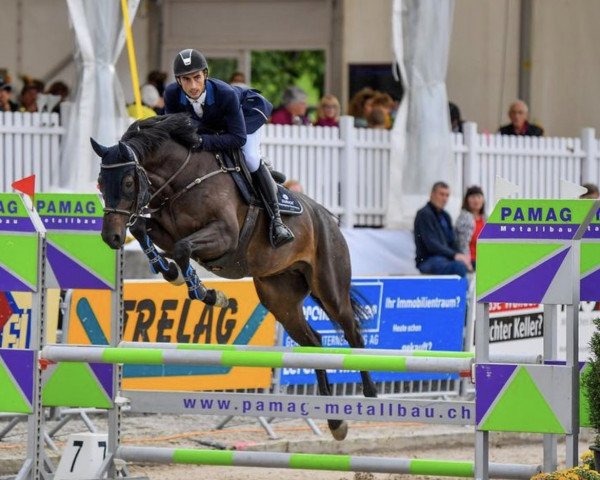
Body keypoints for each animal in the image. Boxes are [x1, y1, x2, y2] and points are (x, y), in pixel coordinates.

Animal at [91, 113, 378, 438]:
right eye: (100, 182)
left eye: (128, 182)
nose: (112, 237)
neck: (182, 180)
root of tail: (328, 218)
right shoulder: (165, 229)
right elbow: (146, 231)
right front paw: (175, 275)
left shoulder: (224, 236)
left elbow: (182, 248)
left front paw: (207, 293)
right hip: (280, 298)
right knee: (313, 342)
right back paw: (335, 420)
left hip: (329, 287)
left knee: (353, 331)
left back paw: (370, 397)